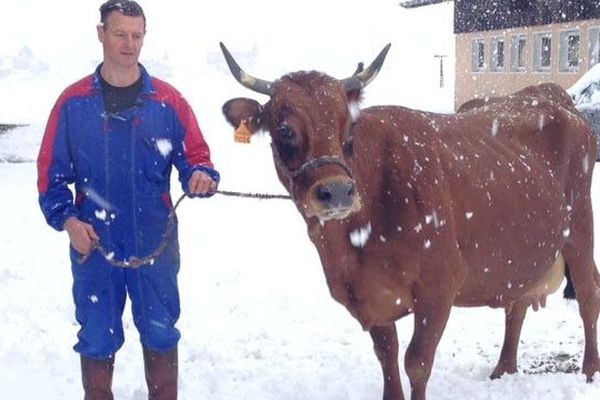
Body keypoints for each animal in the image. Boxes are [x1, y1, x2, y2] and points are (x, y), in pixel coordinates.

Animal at [219, 42, 600, 398]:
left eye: (349, 126)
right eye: (284, 129)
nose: (337, 191)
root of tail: (547, 95)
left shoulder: (440, 284)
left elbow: (416, 362)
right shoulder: (371, 296)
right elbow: (386, 355)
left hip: (580, 229)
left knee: (588, 295)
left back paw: (589, 372)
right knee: (517, 302)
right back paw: (503, 369)